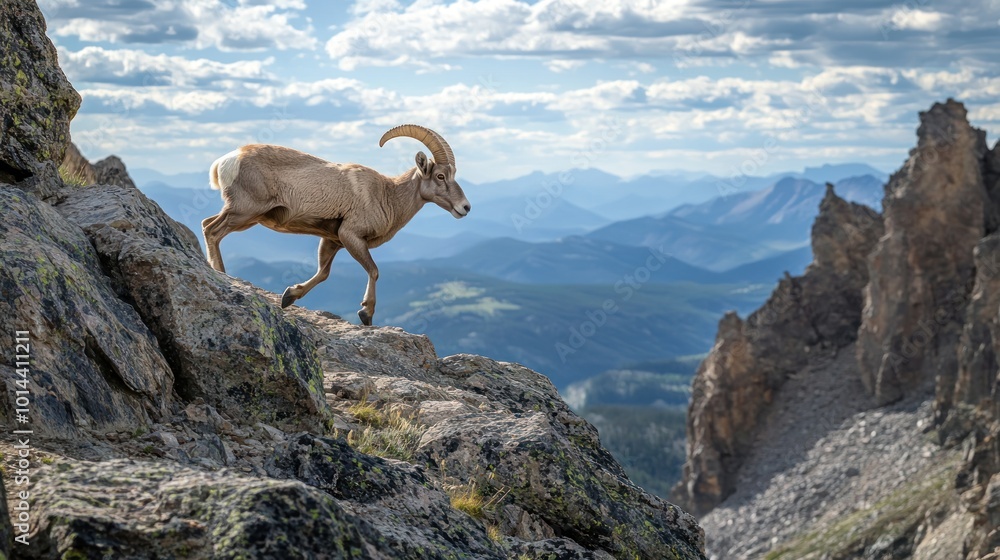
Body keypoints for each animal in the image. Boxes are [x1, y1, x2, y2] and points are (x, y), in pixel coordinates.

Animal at [203, 122, 472, 324]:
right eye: (440, 176)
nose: (465, 208)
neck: (388, 196)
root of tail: (227, 160)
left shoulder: (332, 240)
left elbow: (323, 273)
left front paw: (289, 296)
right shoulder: (351, 236)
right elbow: (374, 270)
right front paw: (366, 314)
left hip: (245, 216)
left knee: (208, 224)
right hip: (244, 211)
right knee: (212, 230)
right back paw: (222, 273)